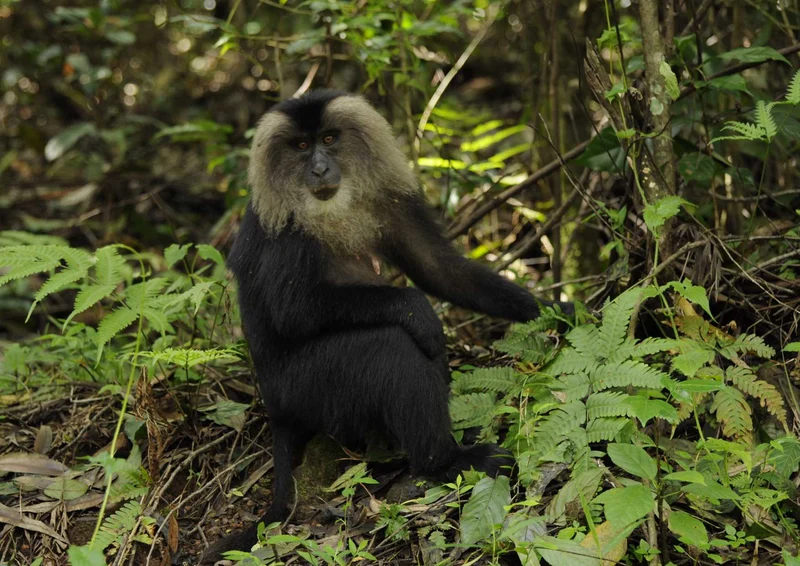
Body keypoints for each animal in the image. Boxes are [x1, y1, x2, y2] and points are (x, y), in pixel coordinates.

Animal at [200, 90, 570, 562]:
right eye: (301, 147)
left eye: (328, 138)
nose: (318, 168)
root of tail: (275, 409)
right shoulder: (285, 230)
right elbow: (294, 311)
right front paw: (416, 308)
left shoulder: (385, 200)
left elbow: (439, 269)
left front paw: (559, 311)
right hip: (306, 388)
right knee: (392, 346)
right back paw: (444, 462)